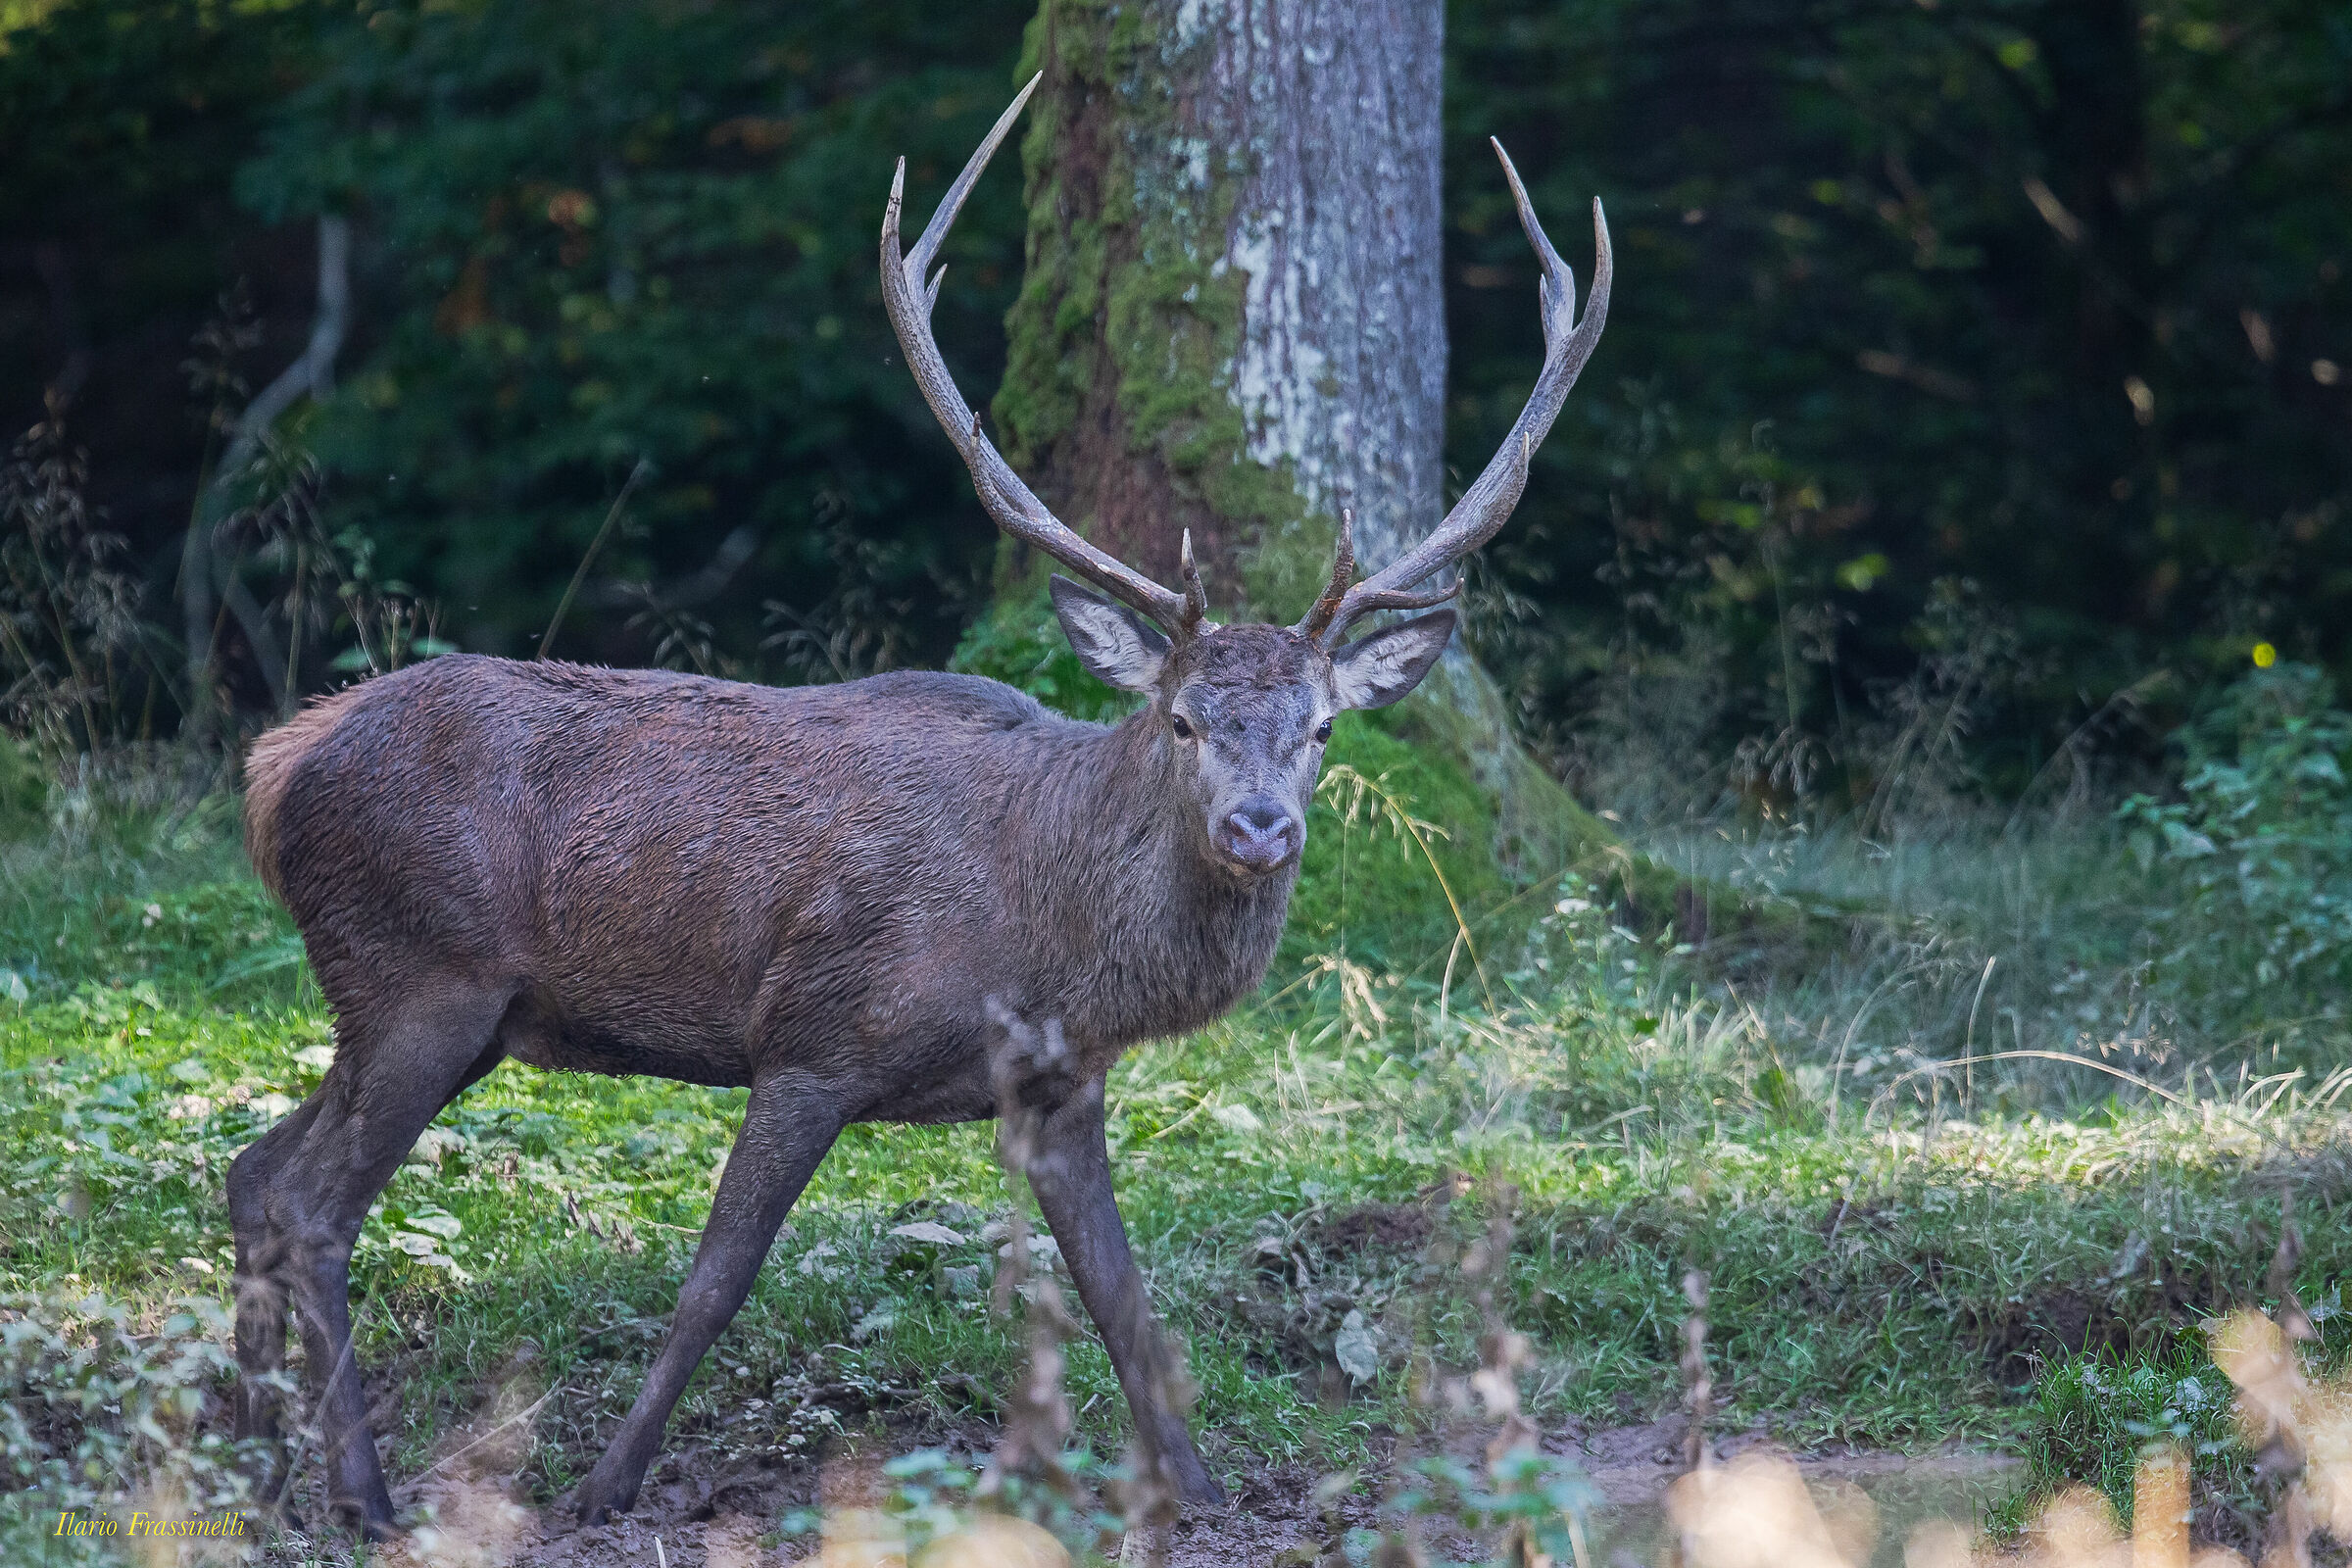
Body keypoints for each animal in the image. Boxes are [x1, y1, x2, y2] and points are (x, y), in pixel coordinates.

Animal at [226, 74, 1609, 1539]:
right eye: (1183, 720)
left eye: (1325, 729)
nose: (1260, 829)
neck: (1048, 929)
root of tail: (274, 764)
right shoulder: (812, 1038)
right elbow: (716, 1281)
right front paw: (602, 1484)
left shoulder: (1060, 1082)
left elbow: (1125, 1301)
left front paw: (1201, 1492)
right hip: (420, 974)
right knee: (312, 1205)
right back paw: (359, 1492)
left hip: (417, 1007)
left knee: (254, 1174)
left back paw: (247, 1467)